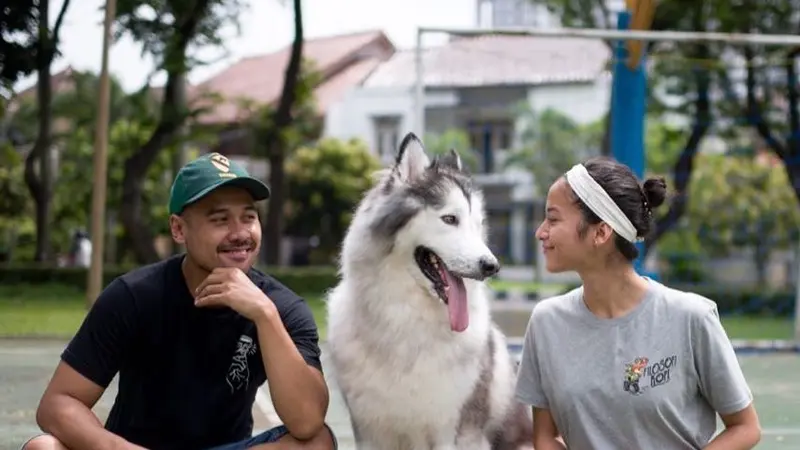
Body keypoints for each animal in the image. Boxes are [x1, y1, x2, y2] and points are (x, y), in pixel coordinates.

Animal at [324, 132, 532, 448]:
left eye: (478, 225)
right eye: (450, 219)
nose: (492, 266)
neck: (408, 319)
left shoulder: (455, 431)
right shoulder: (370, 430)